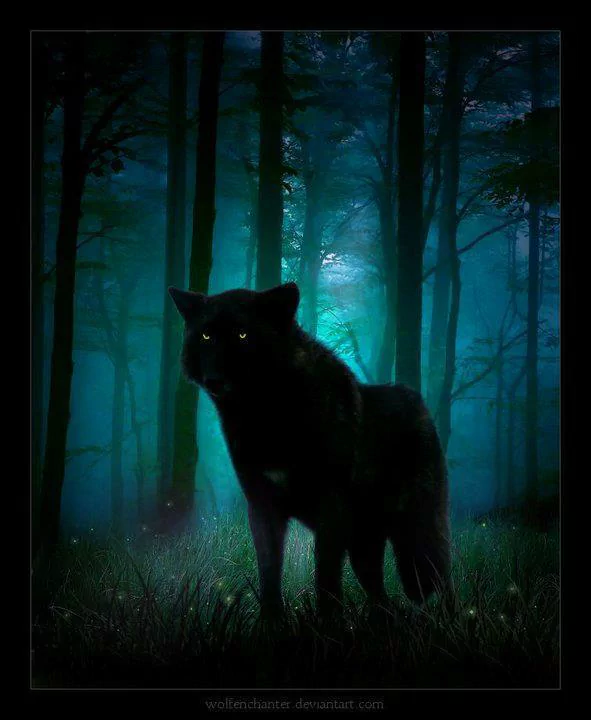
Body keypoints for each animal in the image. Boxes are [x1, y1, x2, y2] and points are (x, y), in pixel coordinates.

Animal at [169, 282, 451, 619]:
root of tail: (422, 406)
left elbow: (325, 578)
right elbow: (269, 575)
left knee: (442, 581)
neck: (269, 417)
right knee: (383, 597)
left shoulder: (331, 507)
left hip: (418, 537)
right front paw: (271, 623)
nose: (214, 380)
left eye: (242, 334)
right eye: (206, 335)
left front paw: (327, 624)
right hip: (364, 549)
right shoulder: (262, 506)